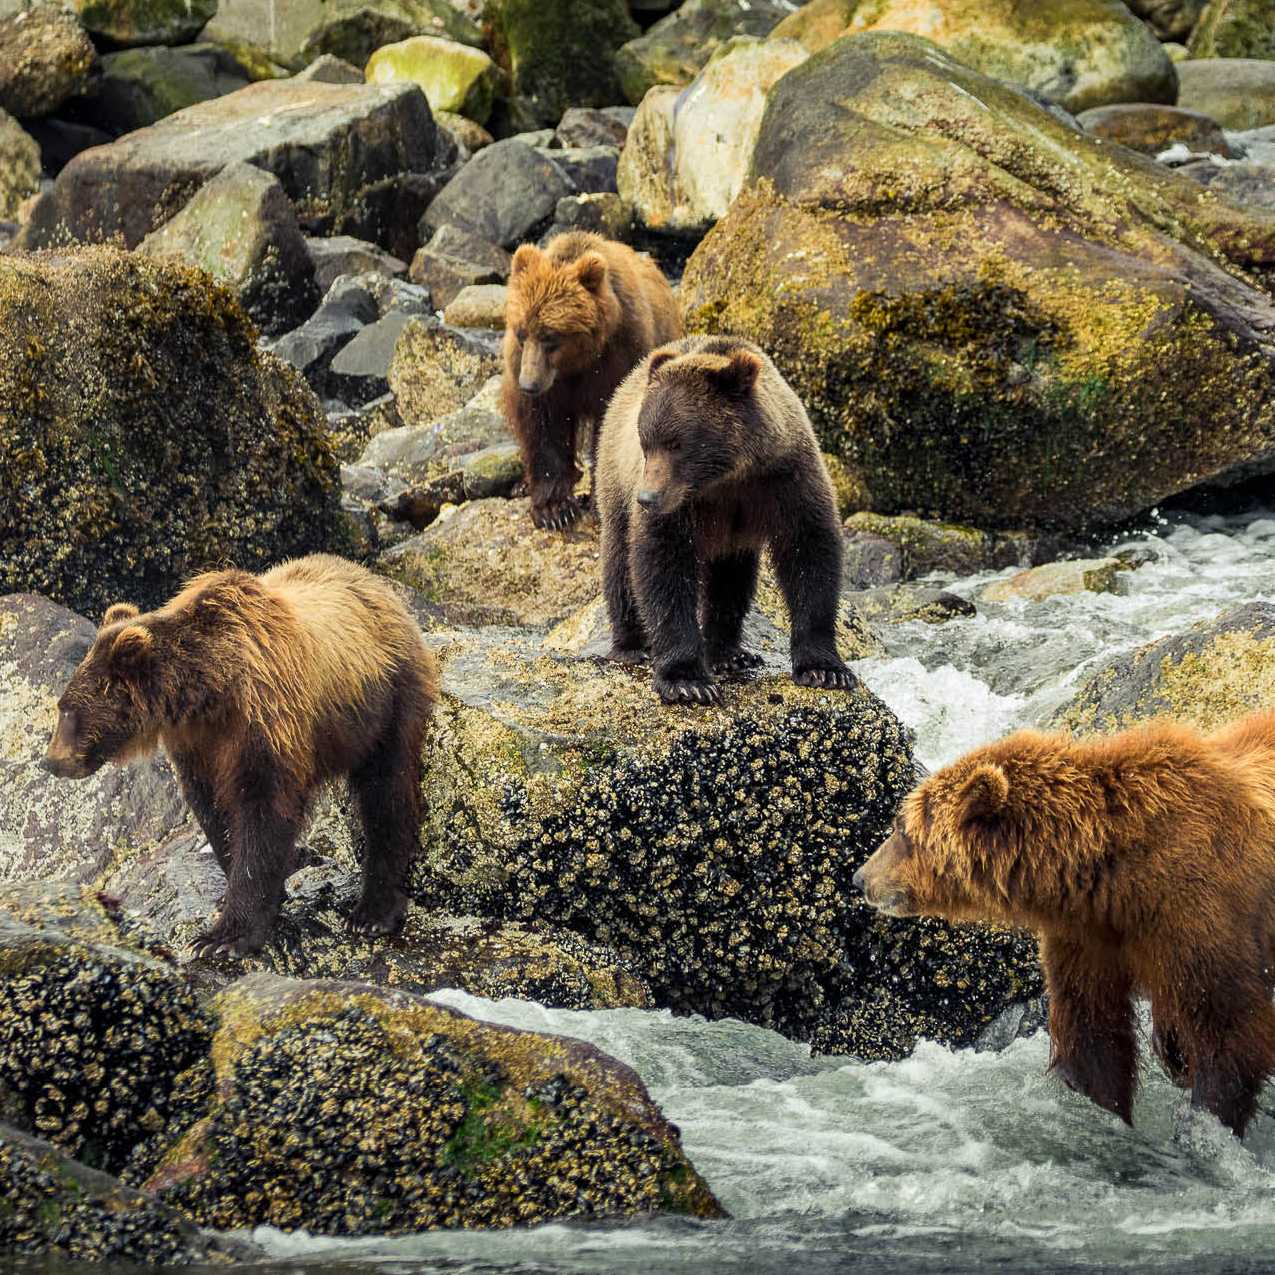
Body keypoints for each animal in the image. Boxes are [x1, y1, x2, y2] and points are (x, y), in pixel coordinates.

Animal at [42, 554, 439, 959]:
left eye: (67, 710)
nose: (50, 761)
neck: (211, 689)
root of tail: (378, 585)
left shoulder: (266, 724)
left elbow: (262, 816)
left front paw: (223, 937)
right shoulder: (198, 745)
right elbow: (216, 814)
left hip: (388, 703)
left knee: (387, 794)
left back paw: (372, 912)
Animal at [501, 230, 682, 532]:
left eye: (551, 337)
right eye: (521, 332)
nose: (528, 384)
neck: (577, 362)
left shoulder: (620, 357)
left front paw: (600, 504)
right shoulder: (541, 381)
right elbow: (542, 428)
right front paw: (553, 509)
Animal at [595, 334, 857, 705]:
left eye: (677, 444)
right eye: (647, 443)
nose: (647, 498)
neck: (727, 477)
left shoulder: (786, 478)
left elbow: (810, 552)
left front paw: (825, 669)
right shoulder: (681, 506)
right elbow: (663, 567)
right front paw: (687, 681)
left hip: (733, 540)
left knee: (732, 581)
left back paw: (730, 653)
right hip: (616, 483)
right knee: (620, 561)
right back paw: (632, 646)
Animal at [853, 712, 1275, 1138]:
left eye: (902, 830)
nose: (860, 878)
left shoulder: (1200, 912)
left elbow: (1227, 1033)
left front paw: (1206, 1122)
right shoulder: (1089, 933)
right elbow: (1092, 1030)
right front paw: (1103, 1106)